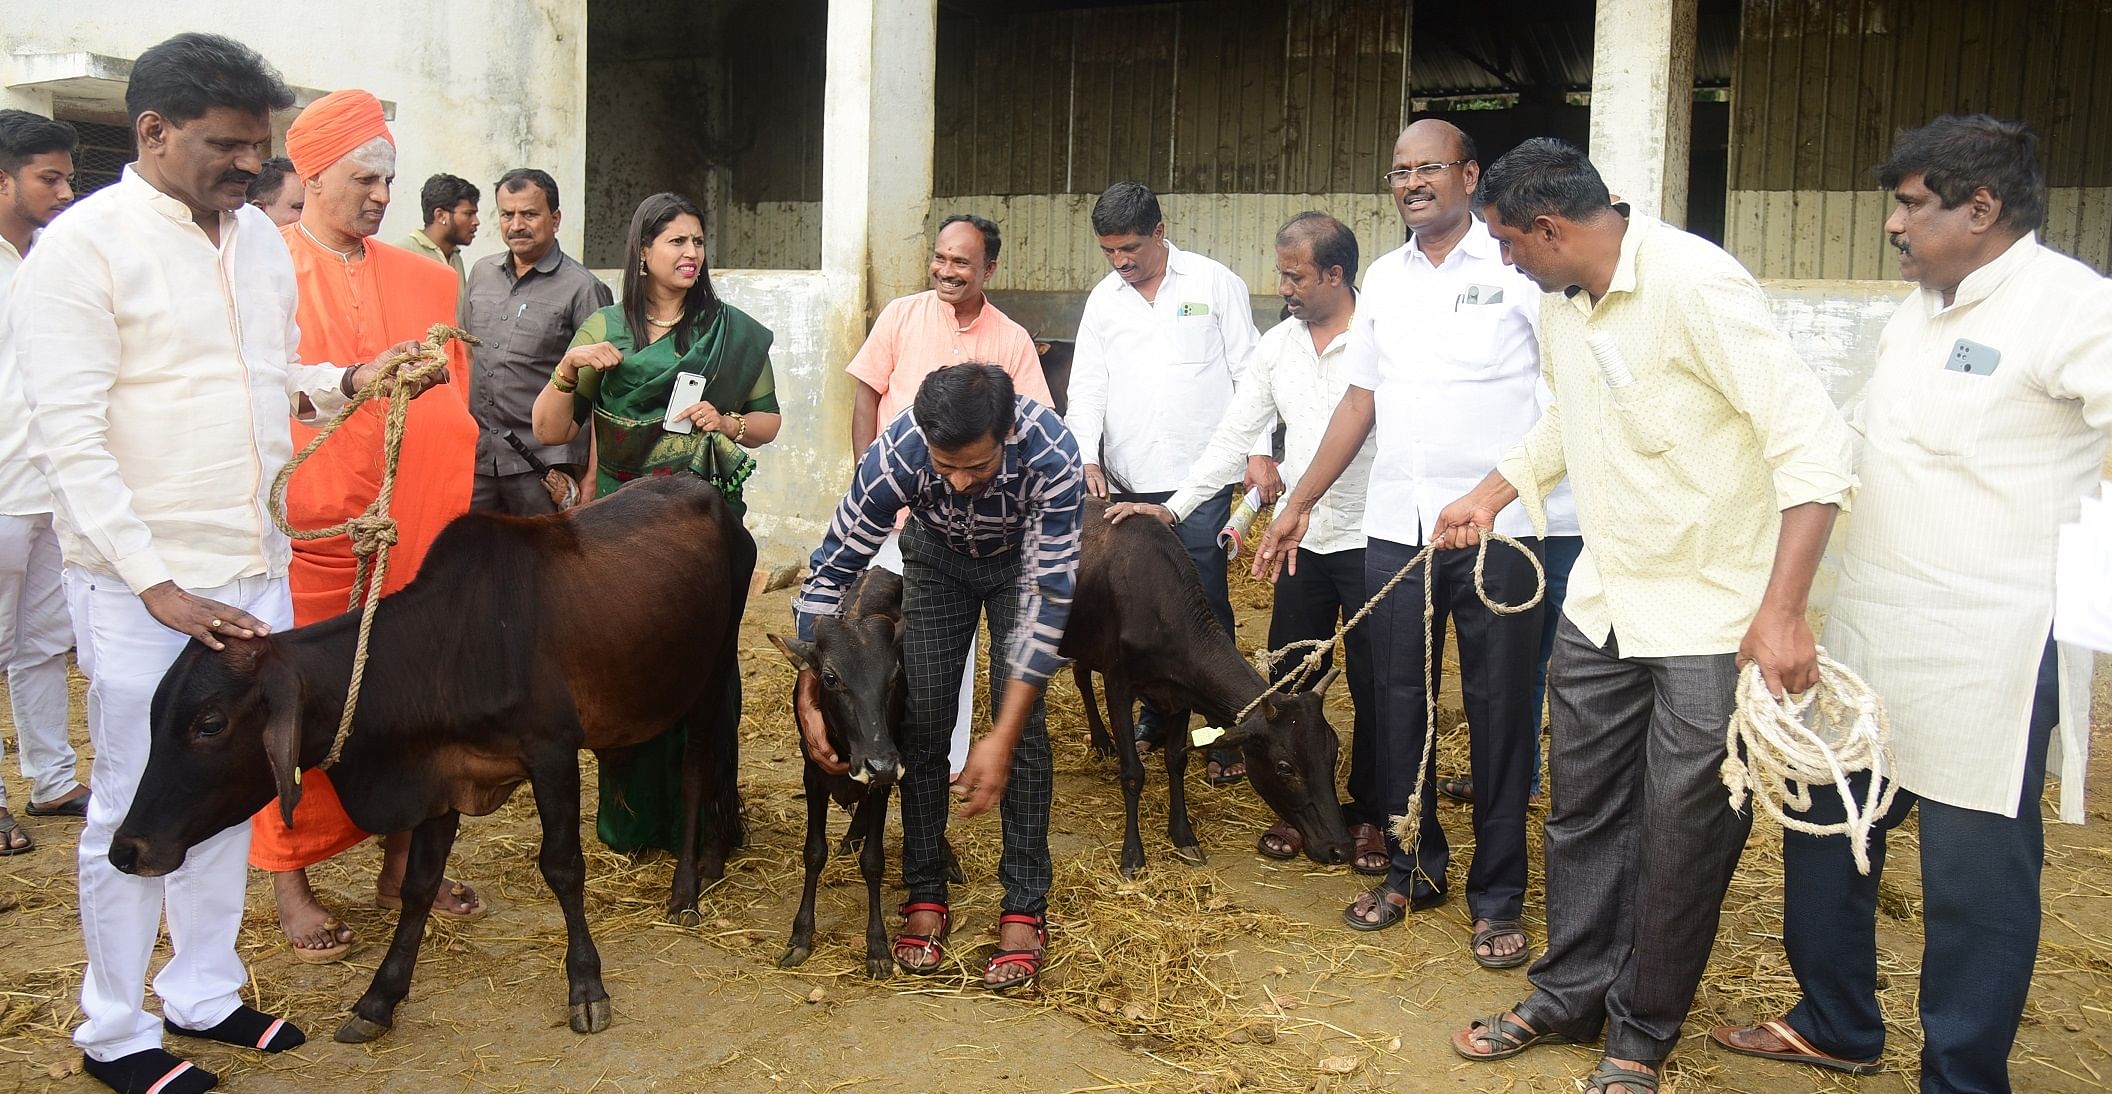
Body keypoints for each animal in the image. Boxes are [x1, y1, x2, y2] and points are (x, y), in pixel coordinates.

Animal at [107, 477, 756, 1047]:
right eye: (154, 714)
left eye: (210, 723)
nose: (126, 850)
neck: (453, 644)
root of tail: (706, 493)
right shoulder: (443, 777)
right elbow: (417, 885)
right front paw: (378, 1000)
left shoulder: (551, 752)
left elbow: (563, 866)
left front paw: (587, 987)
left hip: (712, 674)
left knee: (697, 773)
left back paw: (686, 890)